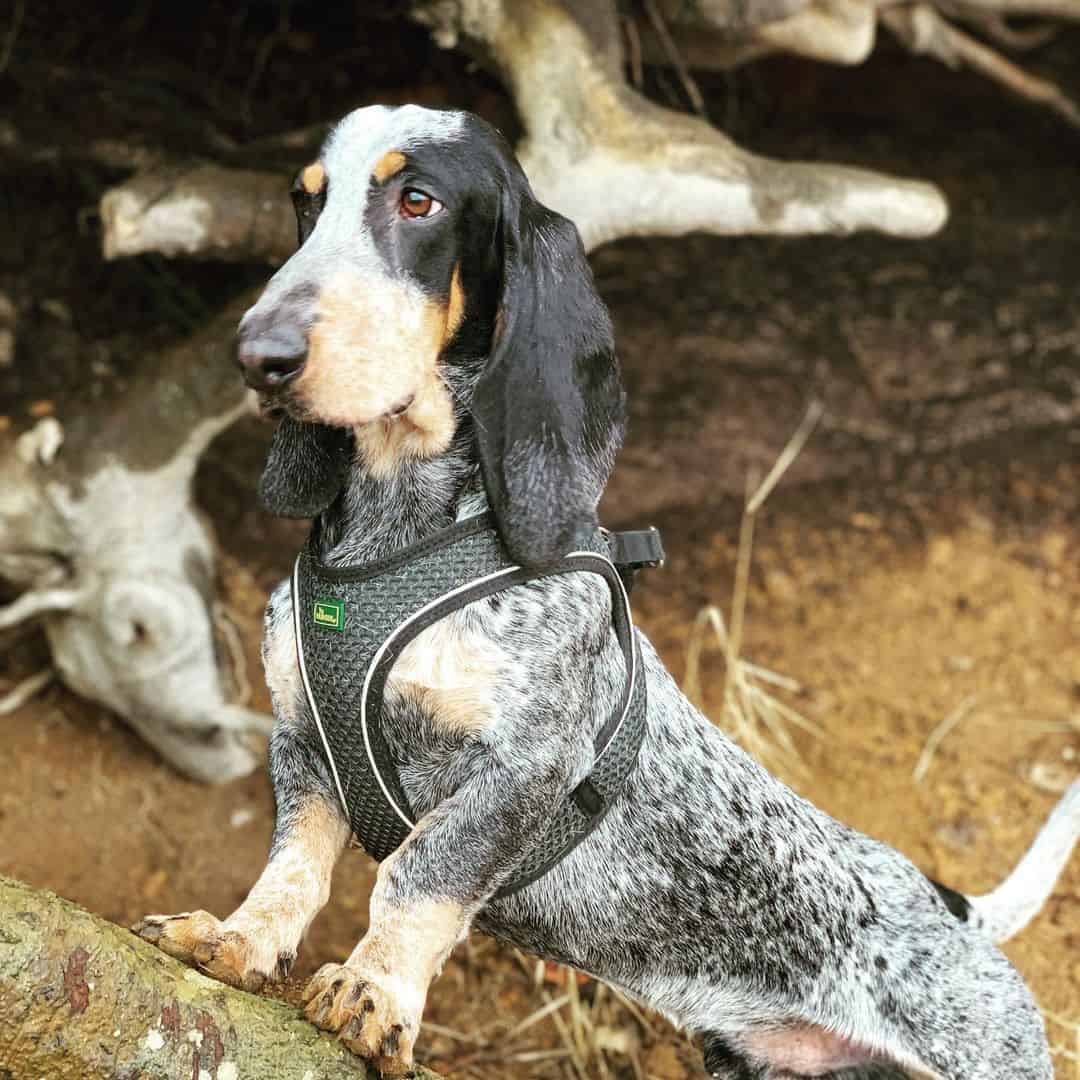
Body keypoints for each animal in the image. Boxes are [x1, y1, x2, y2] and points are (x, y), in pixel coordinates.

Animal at [135, 103, 1080, 1080]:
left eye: (418, 200)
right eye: (304, 202)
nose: (258, 356)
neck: (404, 526)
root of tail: (954, 910)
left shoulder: (525, 767)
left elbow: (418, 876)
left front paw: (375, 991)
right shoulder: (304, 739)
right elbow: (292, 866)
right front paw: (241, 939)